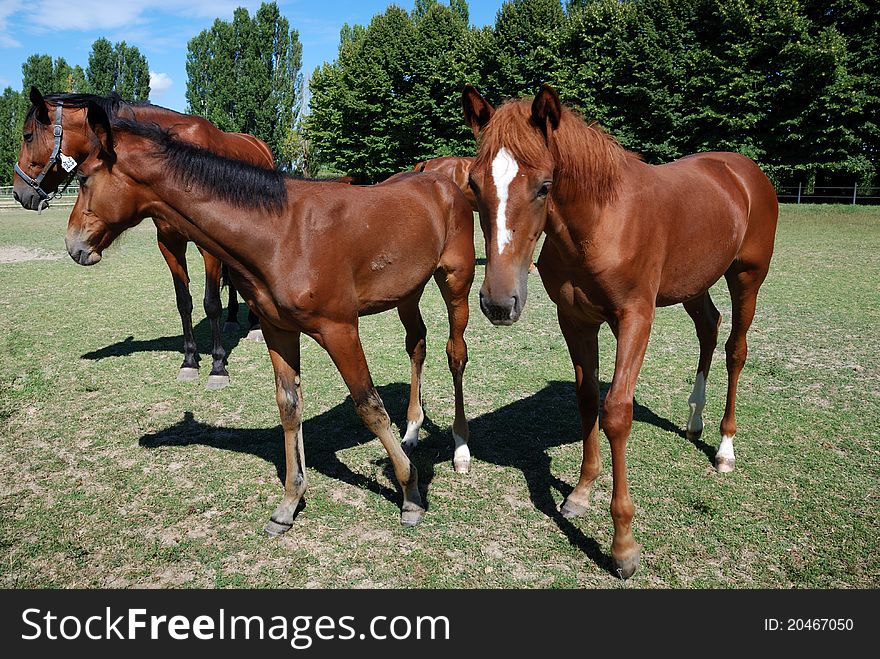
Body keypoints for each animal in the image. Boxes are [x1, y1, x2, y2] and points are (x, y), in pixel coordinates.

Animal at [12, 87, 276, 386]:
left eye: (28, 136)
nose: (19, 192)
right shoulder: (170, 243)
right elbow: (184, 302)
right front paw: (189, 361)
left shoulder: (207, 247)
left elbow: (211, 303)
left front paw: (218, 365)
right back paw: (233, 318)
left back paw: (255, 324)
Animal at [63, 103, 474, 532]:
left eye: (84, 177)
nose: (73, 245)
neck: (281, 233)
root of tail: (442, 181)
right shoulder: (279, 331)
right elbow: (289, 406)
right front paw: (290, 502)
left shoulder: (341, 330)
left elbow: (369, 406)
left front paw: (410, 492)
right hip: (407, 293)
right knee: (417, 344)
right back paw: (411, 431)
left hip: (455, 283)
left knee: (455, 354)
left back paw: (461, 450)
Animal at [460, 85, 776, 580]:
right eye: (474, 185)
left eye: (545, 186)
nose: (498, 303)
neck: (599, 223)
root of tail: (743, 170)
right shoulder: (575, 319)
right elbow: (588, 399)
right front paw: (579, 493)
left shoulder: (635, 319)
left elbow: (616, 413)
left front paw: (623, 546)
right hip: (694, 283)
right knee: (709, 328)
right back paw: (694, 422)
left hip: (747, 278)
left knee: (735, 350)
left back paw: (724, 448)